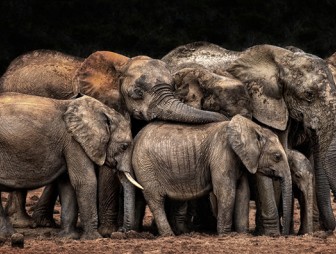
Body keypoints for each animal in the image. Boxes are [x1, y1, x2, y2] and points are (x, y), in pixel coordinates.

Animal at [0, 92, 141, 239]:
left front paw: (68, 237)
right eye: (124, 146)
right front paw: (94, 238)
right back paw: (9, 235)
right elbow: (85, 181)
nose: (122, 231)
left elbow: (67, 184)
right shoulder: (74, 142)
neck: (103, 111)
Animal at [131, 115, 292, 236]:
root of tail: (137, 137)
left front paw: (242, 234)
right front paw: (225, 235)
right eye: (277, 156)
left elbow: (242, 191)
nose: (284, 234)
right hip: (145, 165)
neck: (254, 128)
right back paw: (168, 235)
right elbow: (227, 192)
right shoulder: (223, 154)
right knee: (156, 199)